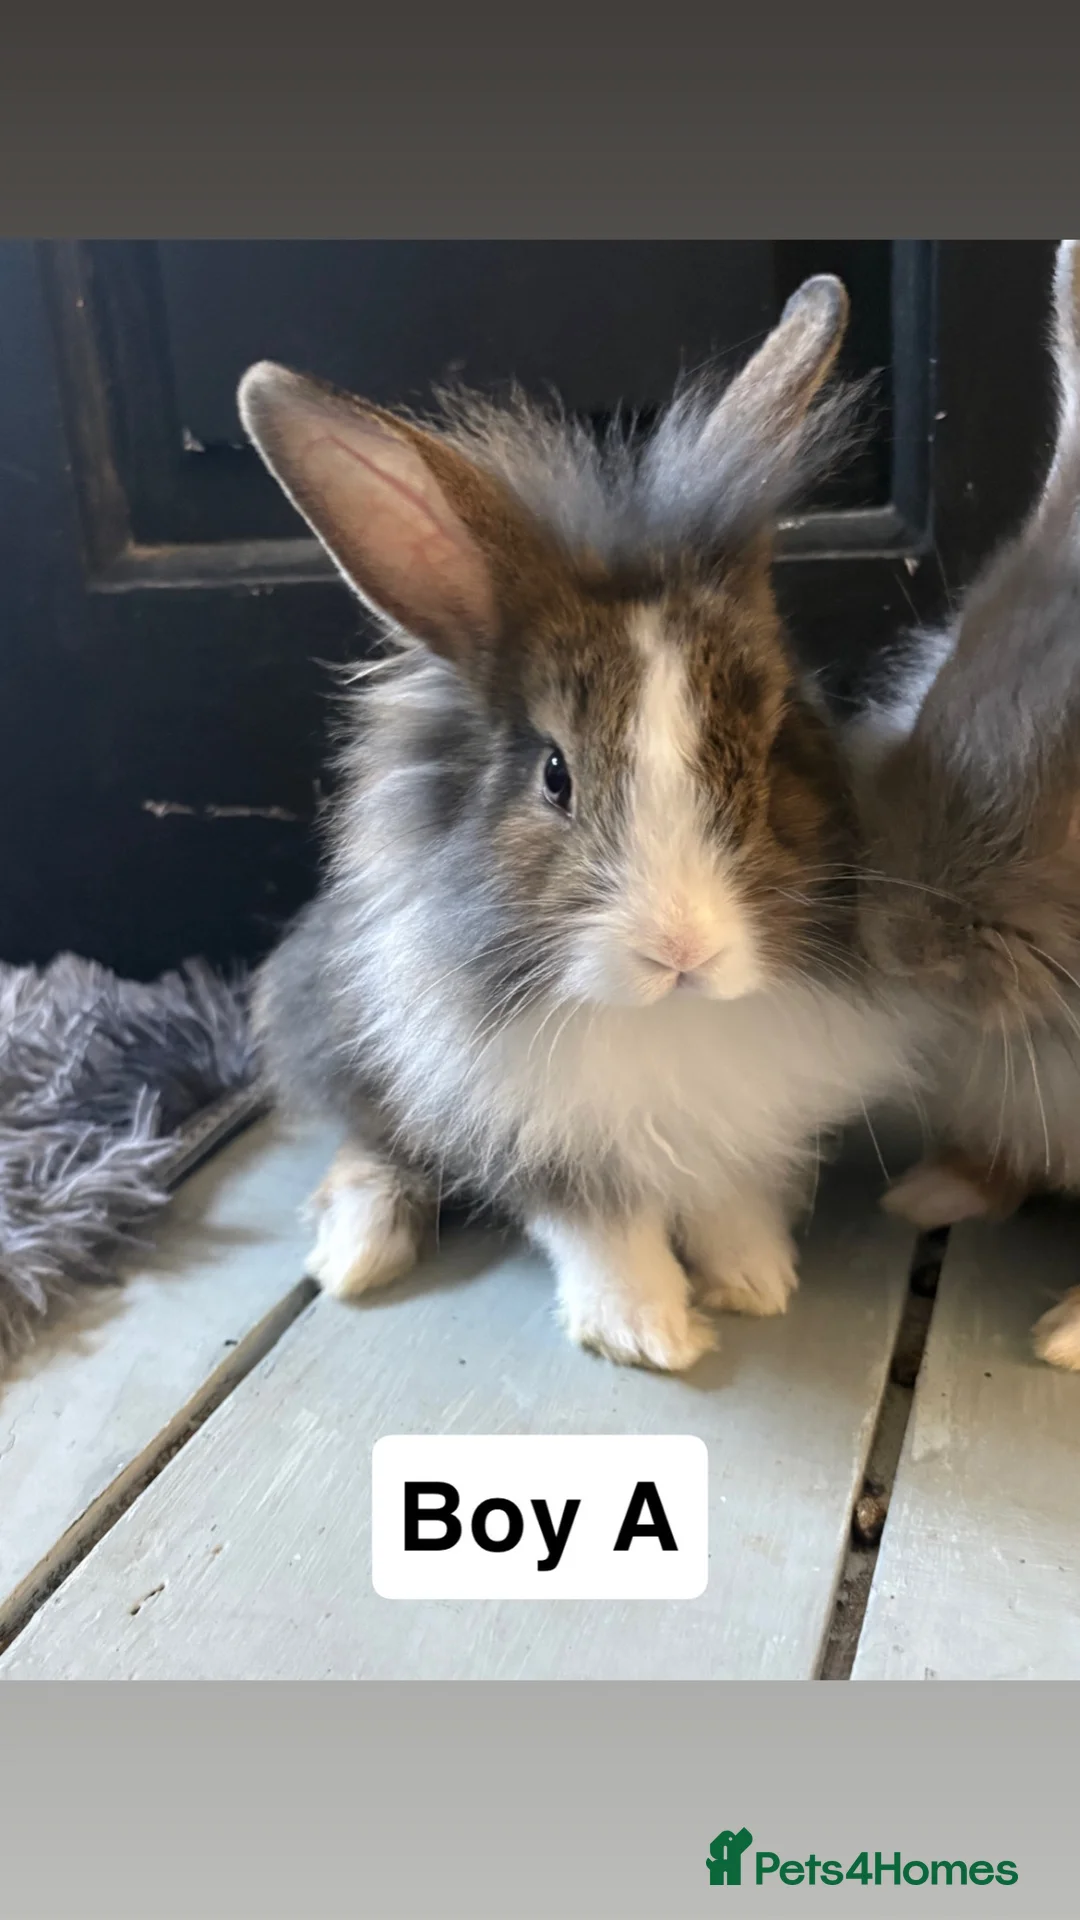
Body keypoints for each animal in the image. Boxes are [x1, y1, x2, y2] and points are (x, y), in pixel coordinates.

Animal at [236, 273, 921, 1374]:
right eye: (554, 774)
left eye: (773, 738)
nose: (683, 951)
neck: (668, 1020)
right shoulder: (534, 1127)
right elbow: (603, 1225)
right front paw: (649, 1331)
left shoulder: (739, 1121)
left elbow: (728, 1197)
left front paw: (755, 1282)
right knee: (371, 1142)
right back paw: (358, 1252)